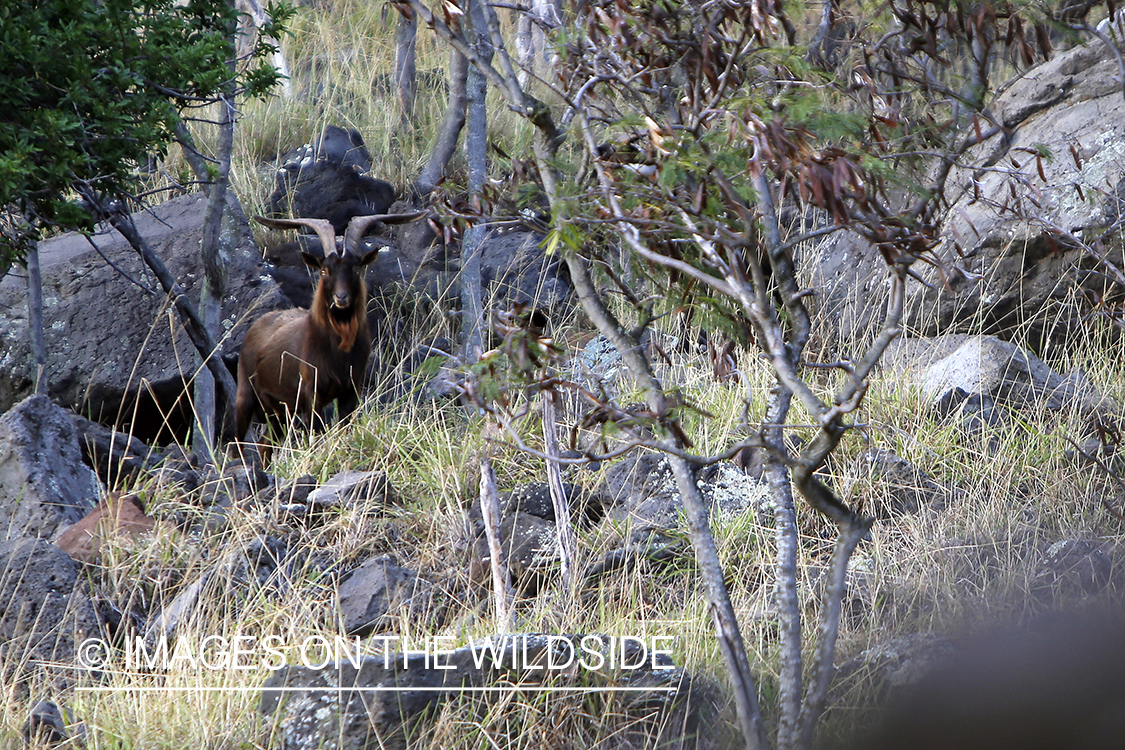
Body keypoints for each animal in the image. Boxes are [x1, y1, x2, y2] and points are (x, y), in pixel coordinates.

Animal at [236, 211, 418, 463]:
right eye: (324, 270)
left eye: (356, 269)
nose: (341, 298)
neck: (337, 351)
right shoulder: (311, 393)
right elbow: (317, 435)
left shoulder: (350, 390)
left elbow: (344, 428)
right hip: (246, 392)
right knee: (236, 441)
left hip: (280, 408)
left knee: (265, 444)